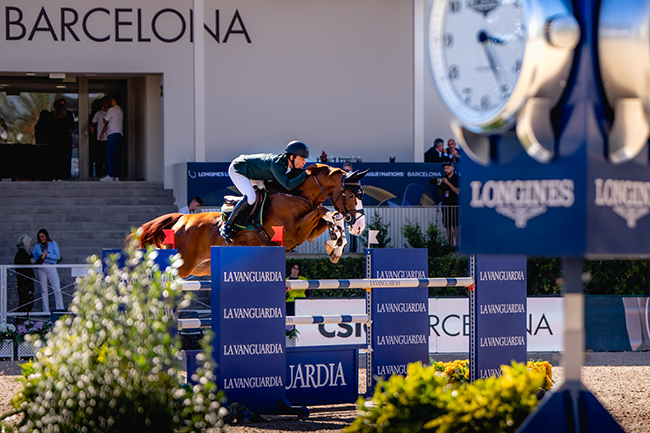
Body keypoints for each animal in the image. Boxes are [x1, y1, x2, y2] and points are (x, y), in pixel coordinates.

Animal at [129, 164, 368, 278]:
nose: (360, 226)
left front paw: (336, 245)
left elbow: (331, 217)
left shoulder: (305, 233)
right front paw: (335, 241)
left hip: (200, 268)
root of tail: (182, 220)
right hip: (183, 266)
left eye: (361, 194)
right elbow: (325, 211)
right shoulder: (294, 230)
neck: (295, 193)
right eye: (349, 194)